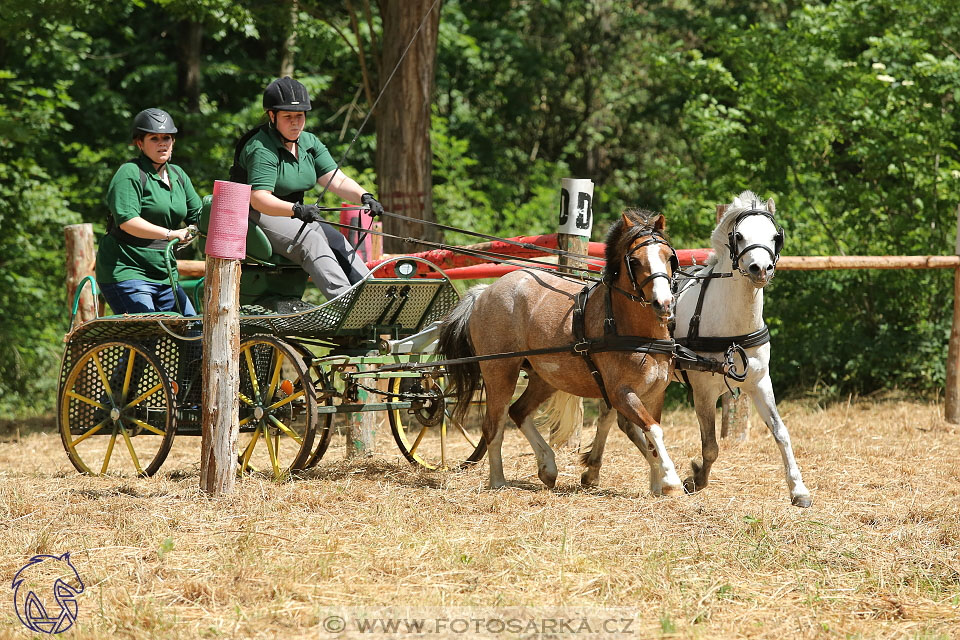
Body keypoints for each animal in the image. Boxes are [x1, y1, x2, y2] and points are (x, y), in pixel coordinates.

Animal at [438, 210, 688, 496]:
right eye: (634, 261)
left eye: (669, 257)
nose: (664, 304)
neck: (638, 334)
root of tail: (484, 293)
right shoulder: (621, 393)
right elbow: (653, 431)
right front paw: (671, 480)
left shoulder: (655, 393)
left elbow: (650, 435)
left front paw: (658, 484)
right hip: (499, 372)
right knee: (494, 426)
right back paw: (498, 481)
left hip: (544, 378)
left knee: (518, 412)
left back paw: (547, 467)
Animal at [576, 190, 808, 504]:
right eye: (740, 236)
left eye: (774, 236)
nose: (760, 269)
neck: (731, 324)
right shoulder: (704, 390)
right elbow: (710, 445)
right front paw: (696, 478)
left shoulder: (760, 381)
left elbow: (780, 432)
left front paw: (798, 489)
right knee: (608, 416)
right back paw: (597, 470)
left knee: (619, 419)